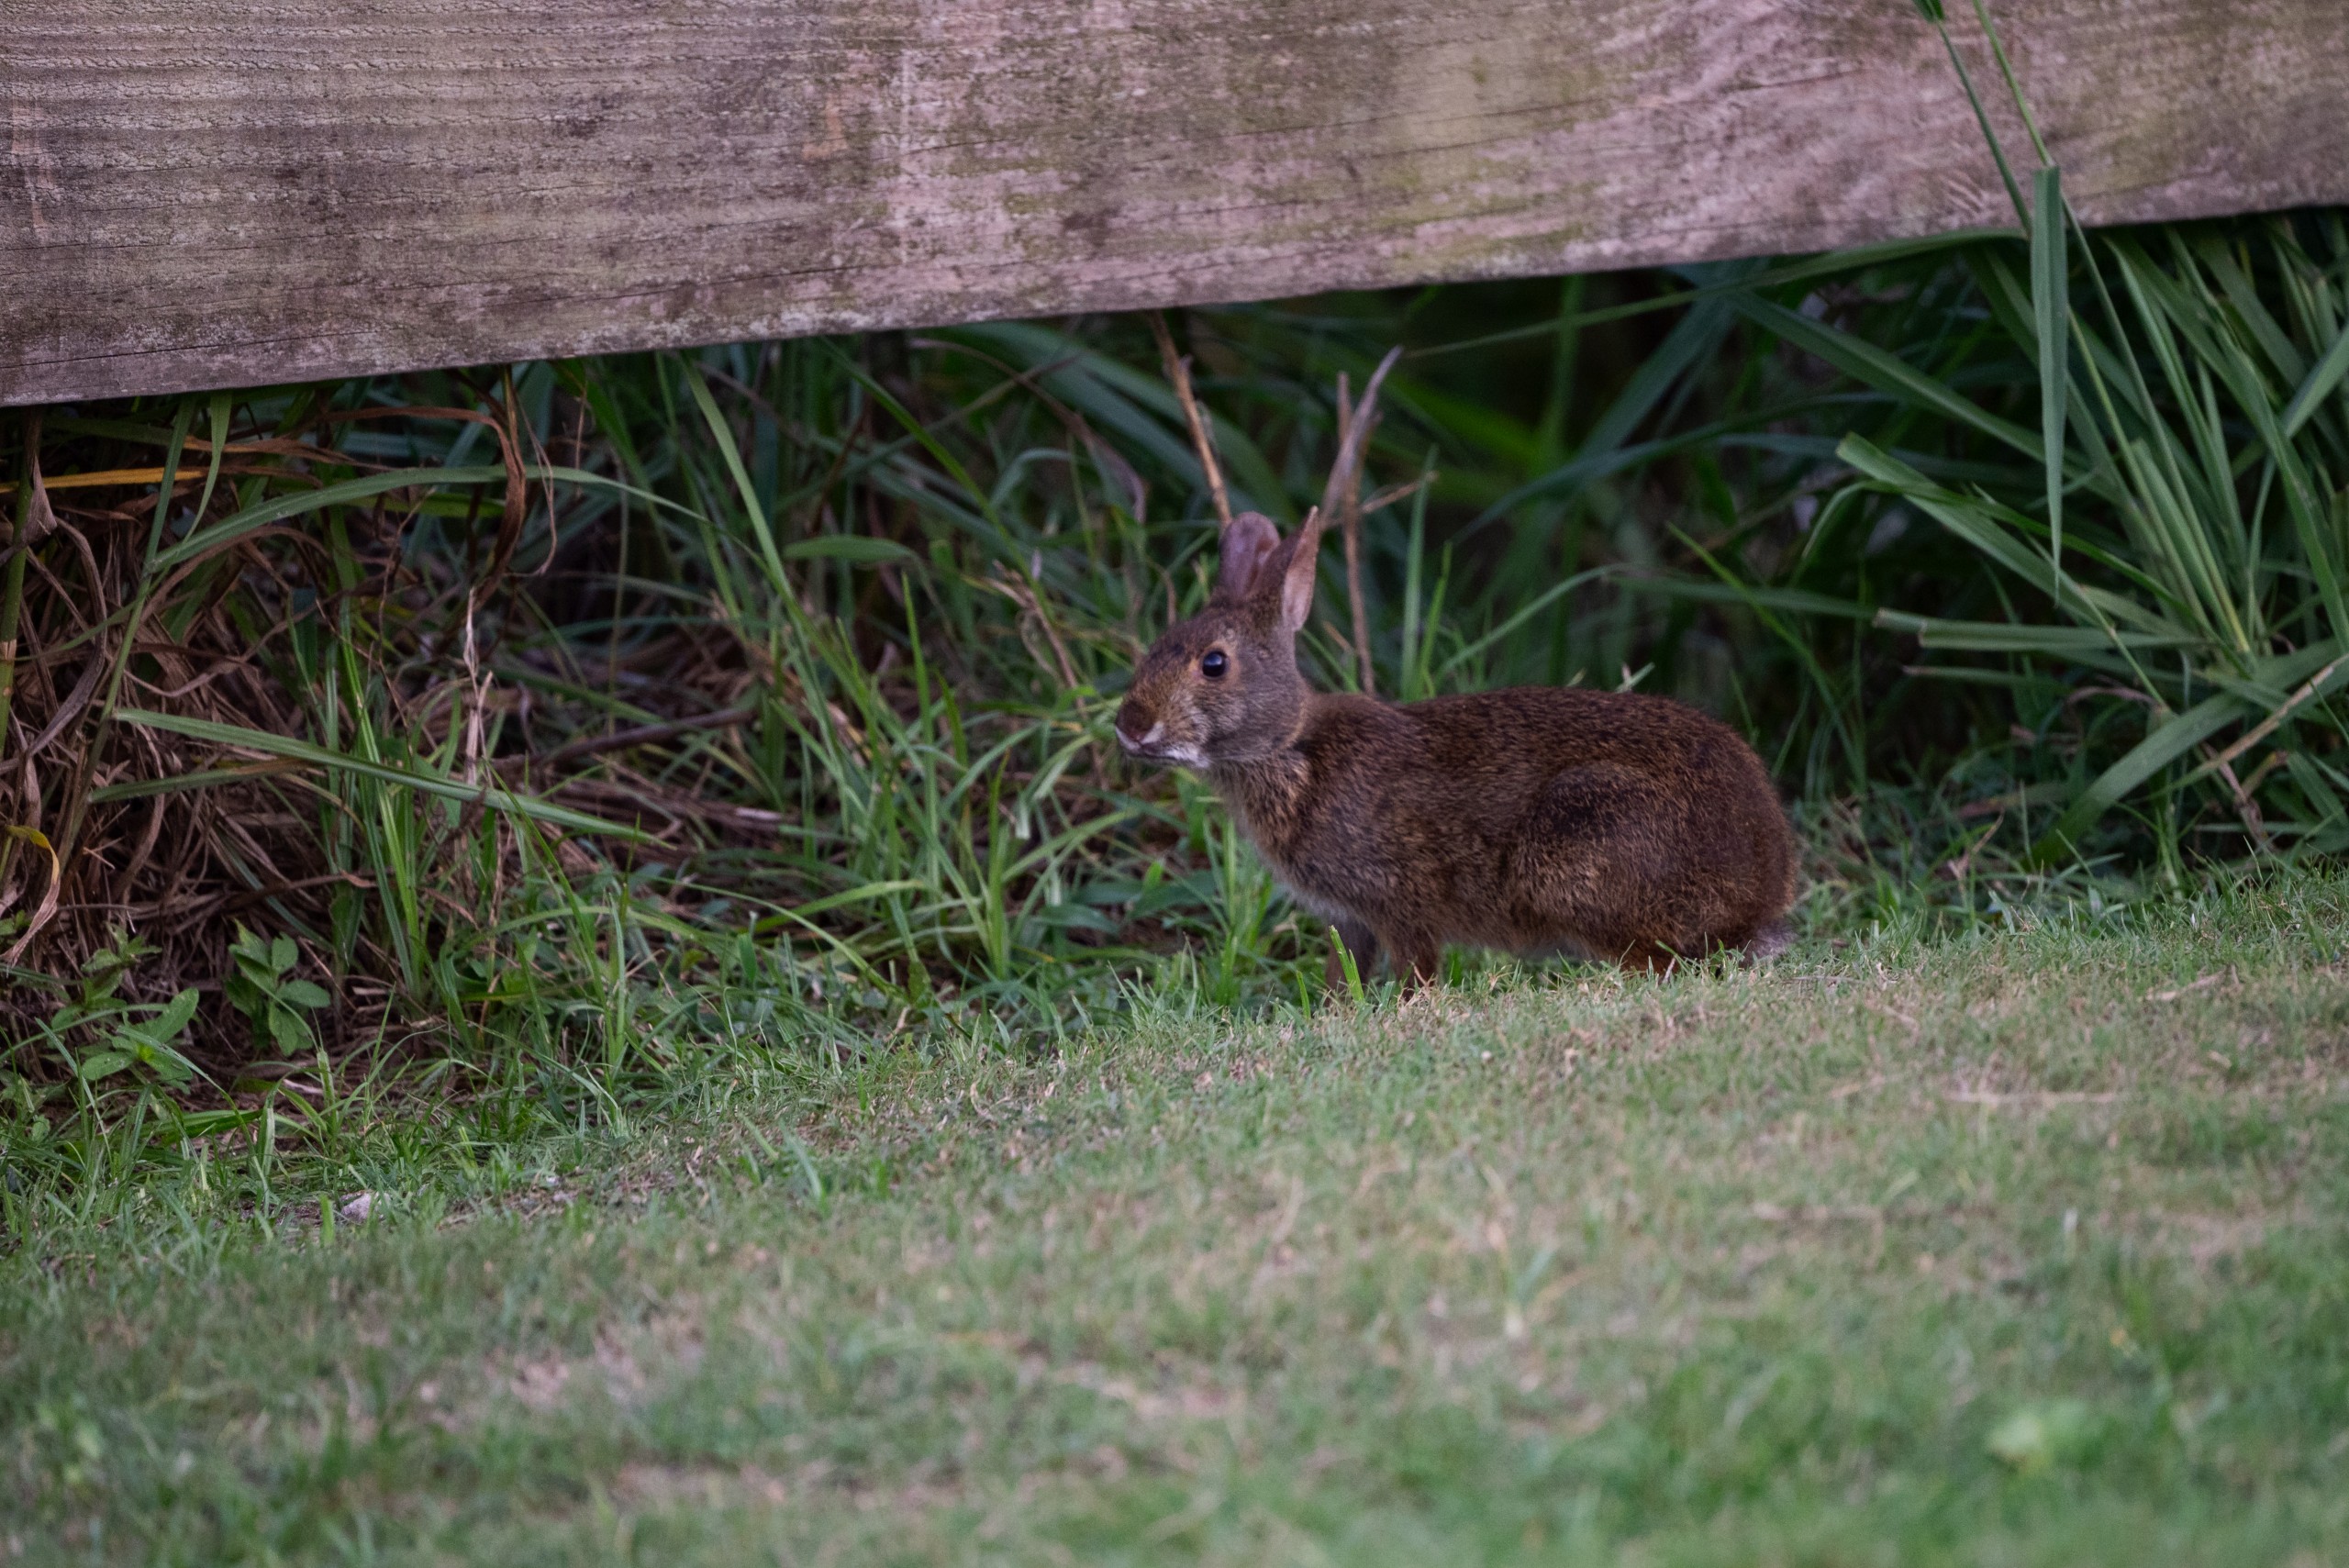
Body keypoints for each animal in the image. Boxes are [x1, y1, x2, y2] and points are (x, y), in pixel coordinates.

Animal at [1114, 510, 1796, 985]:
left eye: (1214, 663)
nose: (1129, 726)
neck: (1290, 747)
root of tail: (1760, 887)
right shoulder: (1348, 918)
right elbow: (1343, 975)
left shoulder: (1399, 899)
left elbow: (1417, 969)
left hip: (1579, 847)